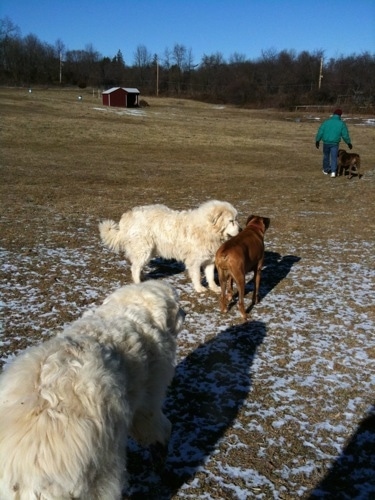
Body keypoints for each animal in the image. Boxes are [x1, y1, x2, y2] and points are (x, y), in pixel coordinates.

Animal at [99, 199, 241, 292]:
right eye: (231, 221)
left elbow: (210, 276)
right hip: (144, 249)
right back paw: (138, 282)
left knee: (137, 266)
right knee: (134, 268)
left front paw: (214, 288)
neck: (208, 228)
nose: (241, 229)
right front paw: (199, 288)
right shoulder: (194, 261)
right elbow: (197, 276)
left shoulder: (209, 260)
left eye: (235, 219)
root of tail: (129, 215)